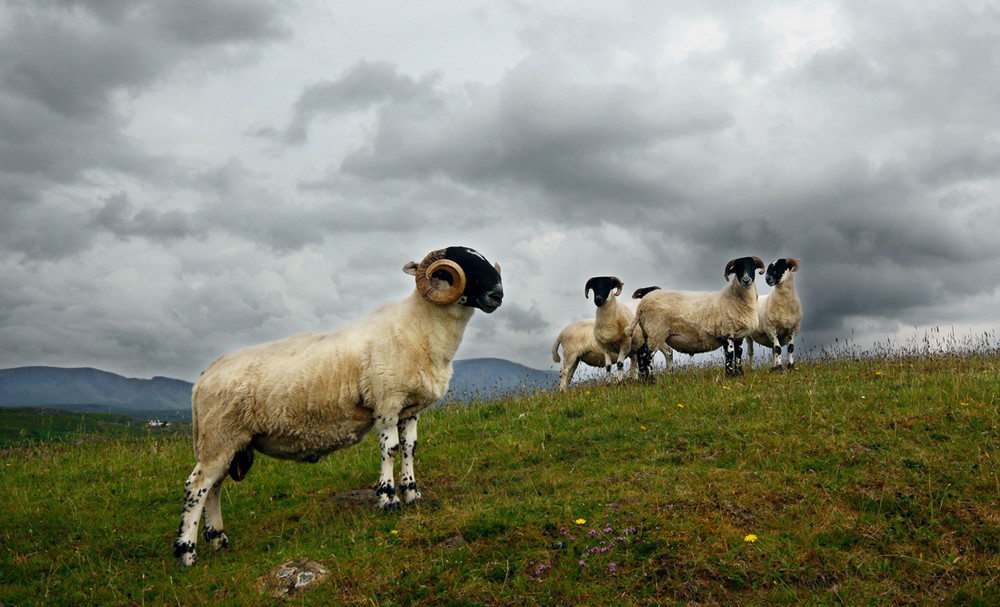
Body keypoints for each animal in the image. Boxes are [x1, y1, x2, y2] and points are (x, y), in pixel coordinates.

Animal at [174, 245, 500, 568]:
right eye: (460, 266)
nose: (498, 294)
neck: (418, 327)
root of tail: (203, 378)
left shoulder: (410, 409)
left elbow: (409, 448)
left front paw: (412, 493)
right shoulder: (386, 403)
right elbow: (390, 449)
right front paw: (388, 499)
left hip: (228, 441)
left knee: (214, 487)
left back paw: (218, 539)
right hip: (219, 435)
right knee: (197, 485)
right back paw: (187, 551)